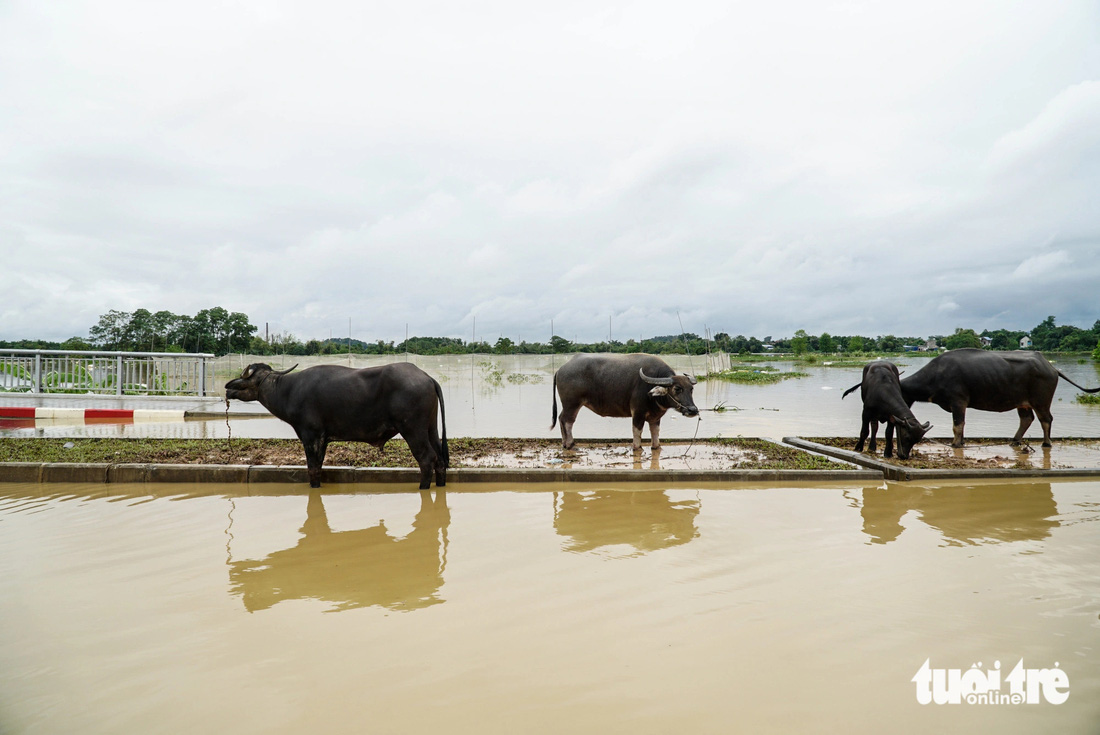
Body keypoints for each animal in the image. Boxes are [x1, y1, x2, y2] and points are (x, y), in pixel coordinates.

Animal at [225, 360, 448, 488]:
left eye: (245, 381)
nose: (228, 389)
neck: (288, 391)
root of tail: (426, 377)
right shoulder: (323, 439)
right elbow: (319, 466)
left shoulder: (311, 436)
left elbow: (313, 468)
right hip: (431, 428)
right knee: (440, 459)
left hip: (412, 429)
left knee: (427, 459)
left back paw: (423, 487)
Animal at [547, 352, 695, 451]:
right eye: (677, 389)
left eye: (691, 389)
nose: (693, 410)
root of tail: (561, 369)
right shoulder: (638, 413)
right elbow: (637, 432)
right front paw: (637, 448)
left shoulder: (655, 417)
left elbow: (655, 434)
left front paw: (656, 447)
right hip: (572, 404)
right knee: (567, 421)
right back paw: (571, 444)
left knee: (561, 418)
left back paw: (565, 443)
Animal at [902, 349, 1100, 448]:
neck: (936, 374)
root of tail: (1051, 368)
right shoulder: (960, 406)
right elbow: (961, 425)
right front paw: (962, 441)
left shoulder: (958, 402)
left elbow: (957, 425)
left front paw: (955, 444)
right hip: (1023, 403)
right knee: (1027, 419)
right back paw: (1016, 440)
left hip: (1041, 401)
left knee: (1046, 419)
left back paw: (1046, 443)